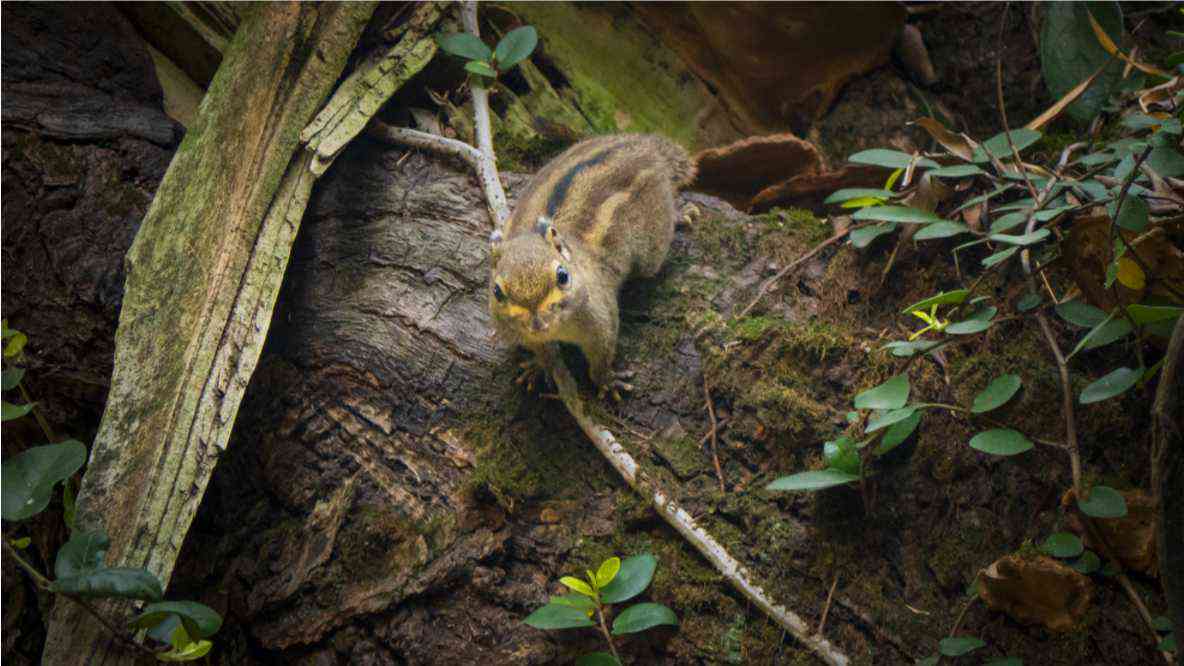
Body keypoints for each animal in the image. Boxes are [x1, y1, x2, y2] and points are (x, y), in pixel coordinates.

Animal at [487, 133, 691, 393]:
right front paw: (538, 366)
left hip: (653, 244)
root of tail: (641, 145)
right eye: (497, 291)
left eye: (563, 276)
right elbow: (543, 352)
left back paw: (680, 214)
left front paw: (606, 381)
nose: (537, 323)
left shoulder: (601, 318)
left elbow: (602, 354)